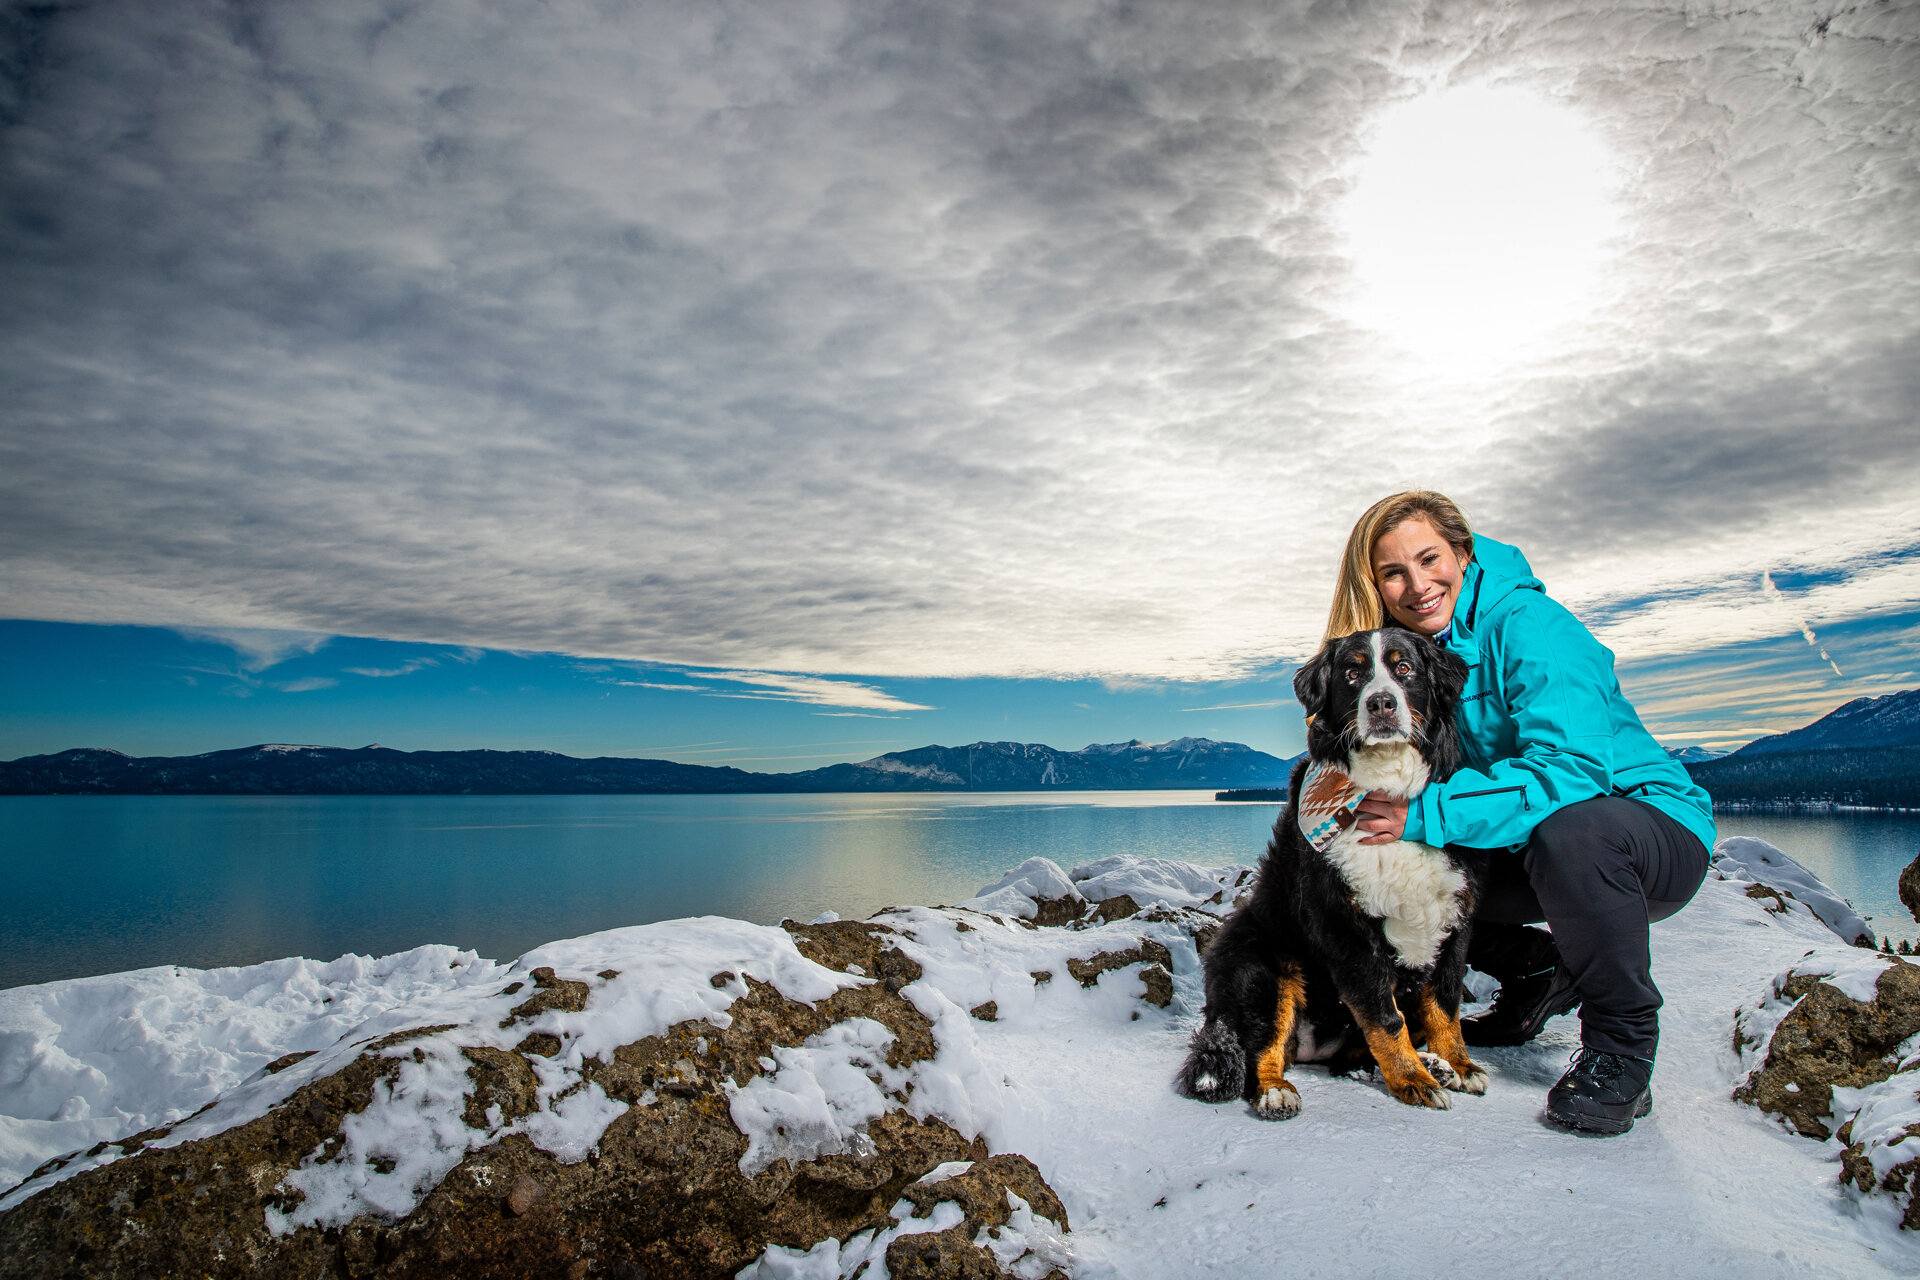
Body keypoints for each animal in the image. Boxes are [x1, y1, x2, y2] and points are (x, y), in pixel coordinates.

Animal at [1167, 629, 1482, 1120]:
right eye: (1353, 673)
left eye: (1404, 668)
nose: (1381, 704)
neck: (1387, 788)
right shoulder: (1344, 925)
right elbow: (1384, 1017)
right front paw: (1412, 1080)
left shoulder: (1455, 911)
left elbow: (1445, 1006)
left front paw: (1459, 1064)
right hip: (1263, 963)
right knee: (1262, 1048)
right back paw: (1277, 1090)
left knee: (1352, 1055)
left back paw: (1433, 1064)